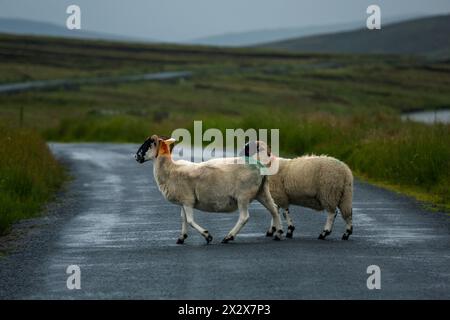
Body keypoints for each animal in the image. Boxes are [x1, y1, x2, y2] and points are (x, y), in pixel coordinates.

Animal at [134, 134, 284, 244]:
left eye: (148, 143)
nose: (136, 157)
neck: (170, 170)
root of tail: (259, 164)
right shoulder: (183, 202)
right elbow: (183, 219)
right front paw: (182, 238)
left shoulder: (188, 200)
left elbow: (190, 220)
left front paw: (207, 236)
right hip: (262, 192)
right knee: (274, 209)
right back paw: (278, 233)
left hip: (243, 195)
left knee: (244, 217)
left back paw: (228, 237)